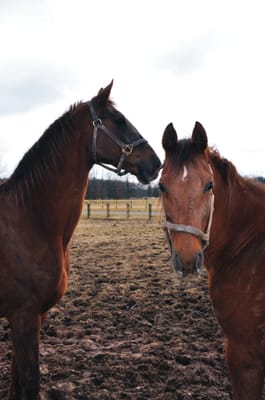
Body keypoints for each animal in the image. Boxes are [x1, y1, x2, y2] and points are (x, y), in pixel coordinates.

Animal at [0, 79, 160, 398]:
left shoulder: (35, 317)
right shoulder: (23, 316)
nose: (156, 163)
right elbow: (30, 383)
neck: (30, 217)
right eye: (119, 120)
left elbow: (16, 384)